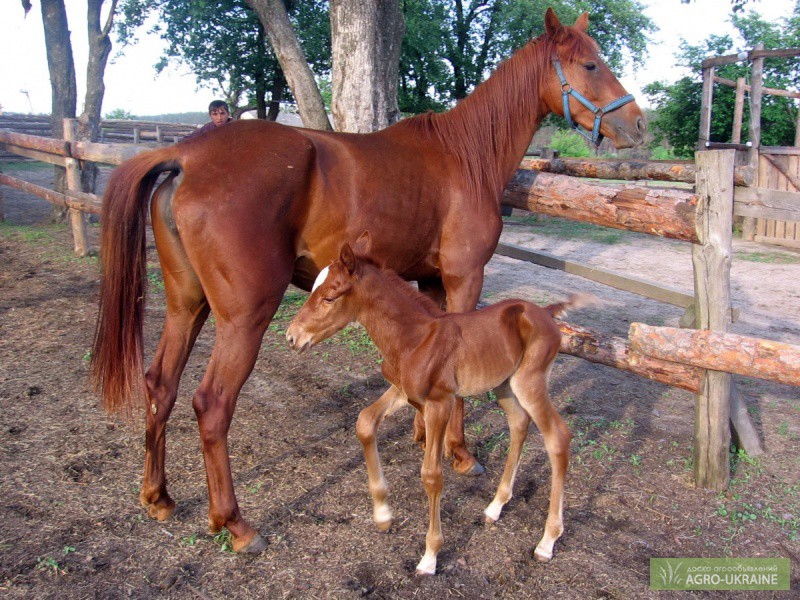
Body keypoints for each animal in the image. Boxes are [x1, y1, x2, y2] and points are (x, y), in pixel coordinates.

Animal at [288, 241, 580, 576]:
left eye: (329, 297)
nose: (292, 337)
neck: (414, 338)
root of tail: (545, 312)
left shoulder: (441, 404)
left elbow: (431, 475)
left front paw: (430, 556)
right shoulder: (403, 391)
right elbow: (364, 422)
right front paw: (383, 514)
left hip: (530, 382)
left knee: (557, 437)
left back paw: (547, 541)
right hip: (505, 385)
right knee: (519, 424)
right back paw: (495, 506)